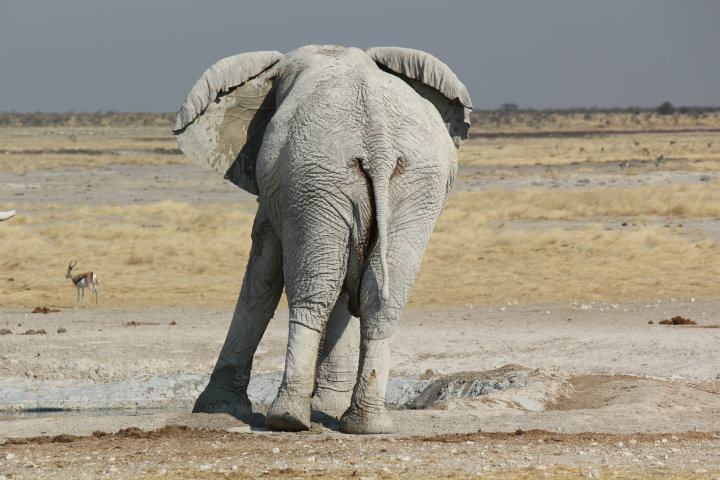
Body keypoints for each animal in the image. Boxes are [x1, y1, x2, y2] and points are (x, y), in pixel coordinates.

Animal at [172, 46, 470, 436]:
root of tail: (377, 142)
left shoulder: (279, 194)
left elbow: (261, 275)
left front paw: (215, 407)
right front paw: (326, 407)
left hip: (315, 182)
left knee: (314, 290)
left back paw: (287, 419)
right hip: (409, 186)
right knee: (379, 296)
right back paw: (366, 425)